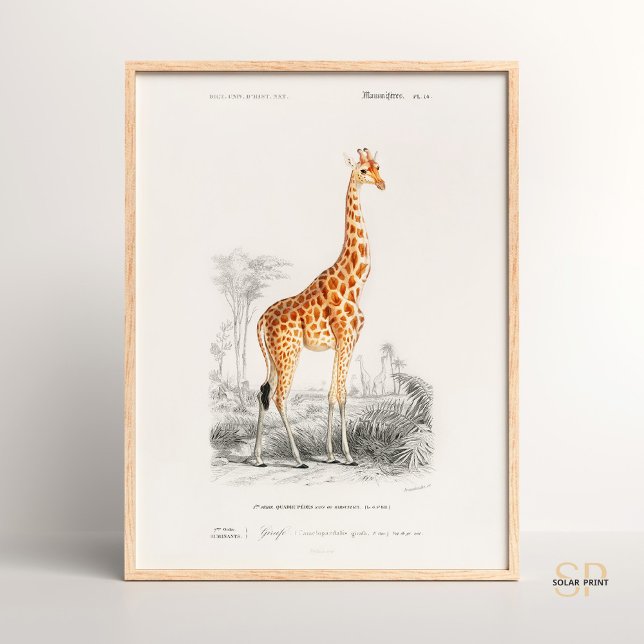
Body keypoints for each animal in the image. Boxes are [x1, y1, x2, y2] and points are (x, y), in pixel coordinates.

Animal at [253, 148, 386, 468]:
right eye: (363, 170)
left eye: (378, 166)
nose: (382, 184)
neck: (355, 282)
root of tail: (261, 320)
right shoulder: (347, 338)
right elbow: (343, 394)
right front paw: (348, 456)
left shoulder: (341, 343)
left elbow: (331, 394)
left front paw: (331, 454)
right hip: (289, 352)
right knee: (279, 396)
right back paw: (298, 458)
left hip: (274, 357)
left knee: (263, 391)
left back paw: (258, 458)